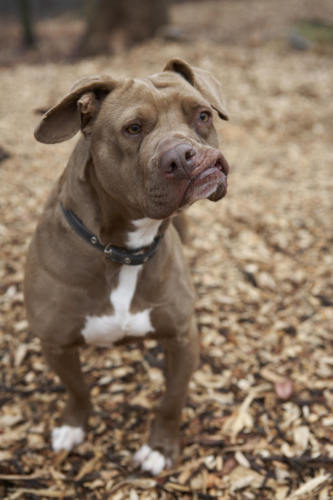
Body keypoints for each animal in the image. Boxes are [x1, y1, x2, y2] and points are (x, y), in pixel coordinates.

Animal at [24, 59, 228, 476]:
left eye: (202, 115)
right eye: (133, 128)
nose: (185, 154)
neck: (121, 251)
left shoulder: (183, 336)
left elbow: (172, 399)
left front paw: (159, 448)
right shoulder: (55, 343)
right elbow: (77, 389)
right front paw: (73, 425)